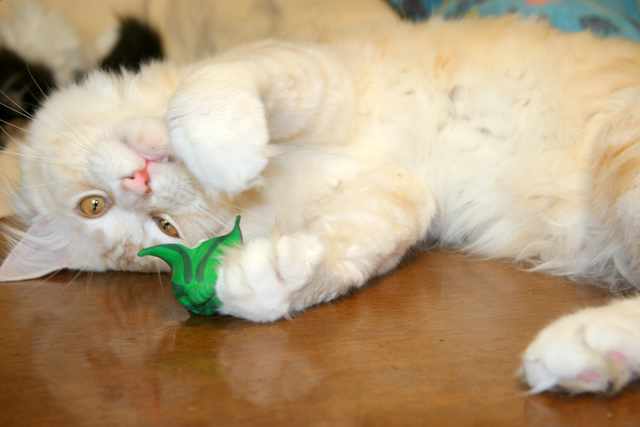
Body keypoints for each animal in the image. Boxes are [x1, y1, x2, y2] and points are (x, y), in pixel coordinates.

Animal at [2, 11, 640, 396]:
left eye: (91, 206)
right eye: (163, 228)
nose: (139, 183)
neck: (277, 175)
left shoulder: (307, 70)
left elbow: (211, 88)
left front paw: (222, 146)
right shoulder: (403, 191)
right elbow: (343, 254)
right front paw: (263, 284)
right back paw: (585, 356)